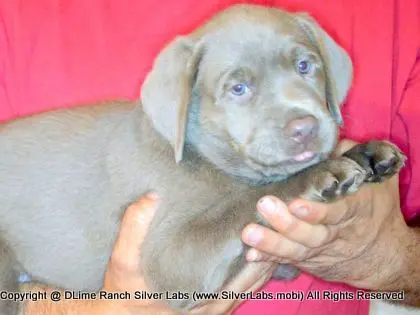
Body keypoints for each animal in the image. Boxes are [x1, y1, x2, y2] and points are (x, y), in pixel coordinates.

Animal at [0, 3, 406, 314]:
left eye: (305, 66)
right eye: (238, 89)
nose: (305, 127)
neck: (204, 156)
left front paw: (367, 155)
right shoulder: (169, 259)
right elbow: (250, 198)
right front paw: (322, 173)